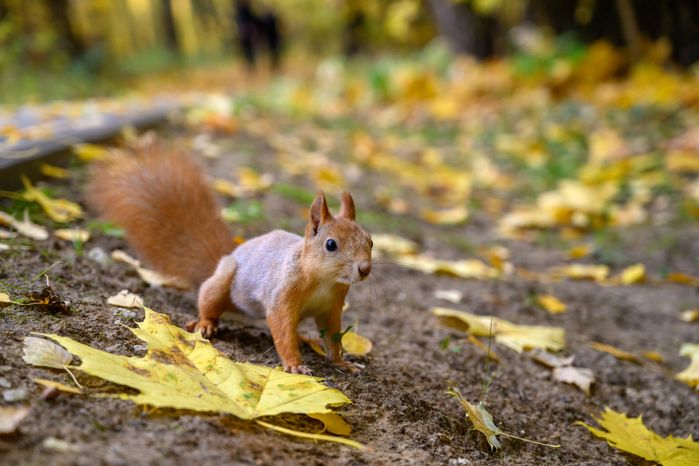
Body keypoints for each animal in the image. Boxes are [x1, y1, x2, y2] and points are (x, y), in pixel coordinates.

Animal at [86, 142, 372, 375]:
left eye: (370, 240)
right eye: (331, 244)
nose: (365, 269)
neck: (324, 280)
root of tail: (227, 256)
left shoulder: (332, 306)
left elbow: (333, 336)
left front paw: (341, 361)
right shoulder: (282, 296)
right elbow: (281, 329)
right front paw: (294, 364)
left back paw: (304, 338)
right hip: (222, 282)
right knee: (208, 302)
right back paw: (205, 324)